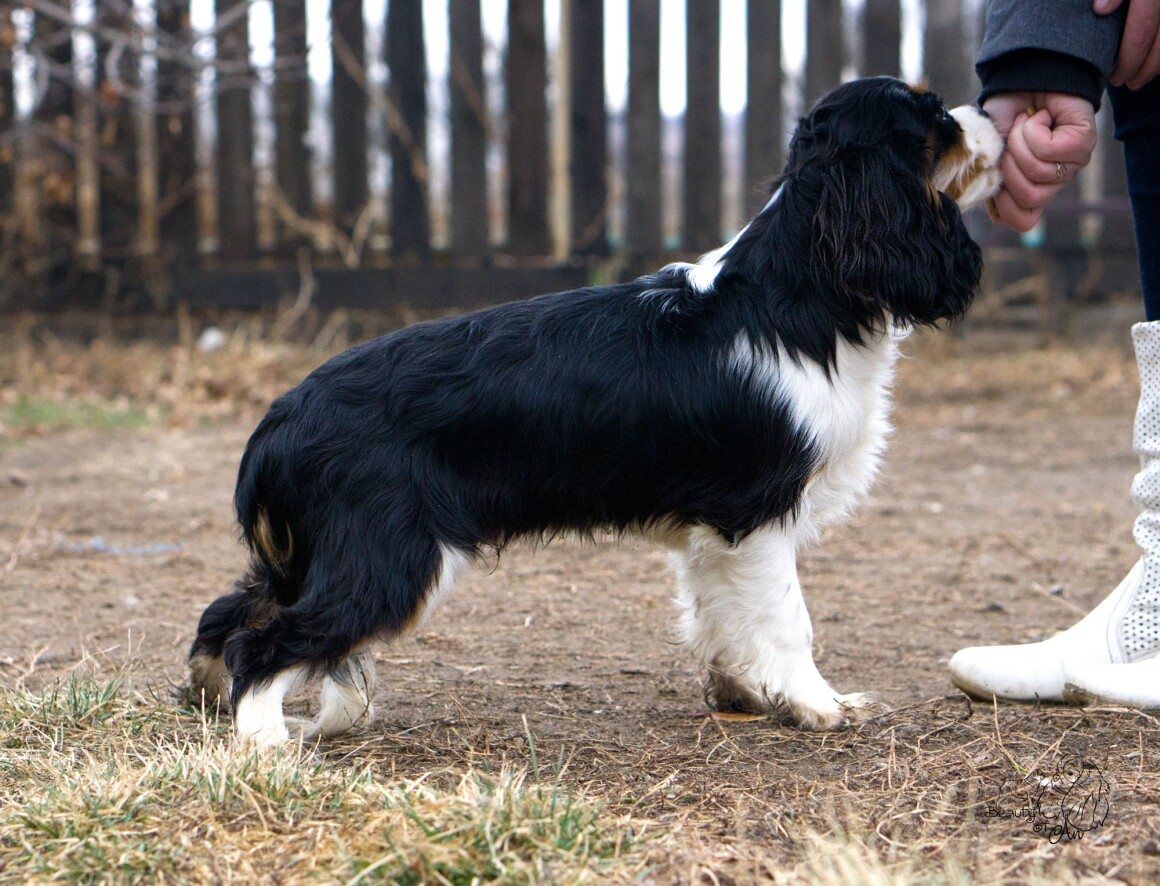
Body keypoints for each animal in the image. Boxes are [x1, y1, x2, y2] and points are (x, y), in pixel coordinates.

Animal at [188, 78, 1002, 745]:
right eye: (937, 119)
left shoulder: (715, 534)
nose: (992, 116)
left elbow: (722, 616)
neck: (799, 291)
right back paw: (264, 744)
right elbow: (787, 620)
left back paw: (215, 700)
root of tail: (280, 421)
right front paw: (818, 705)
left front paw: (745, 695)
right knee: (263, 645)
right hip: (391, 560)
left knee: (232, 613)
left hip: (320, 556)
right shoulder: (759, 513)